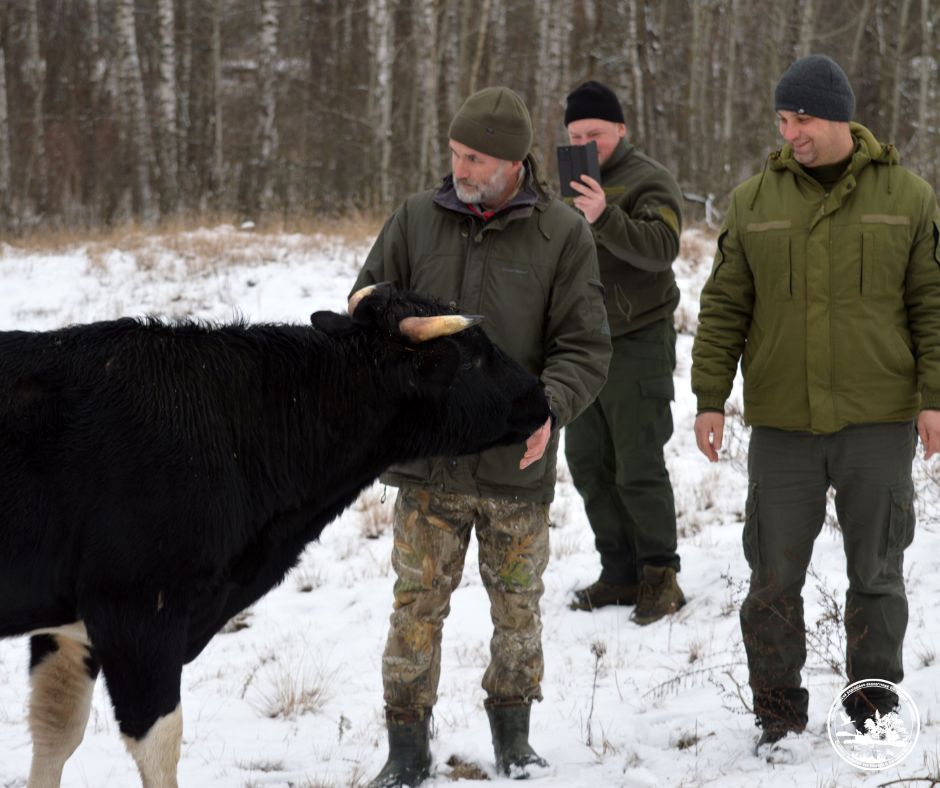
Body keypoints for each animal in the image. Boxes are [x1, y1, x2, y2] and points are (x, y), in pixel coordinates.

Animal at [0, 286, 548, 784]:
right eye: (473, 356)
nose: (539, 397)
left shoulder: (68, 625)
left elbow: (56, 732)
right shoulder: (136, 609)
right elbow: (158, 744)